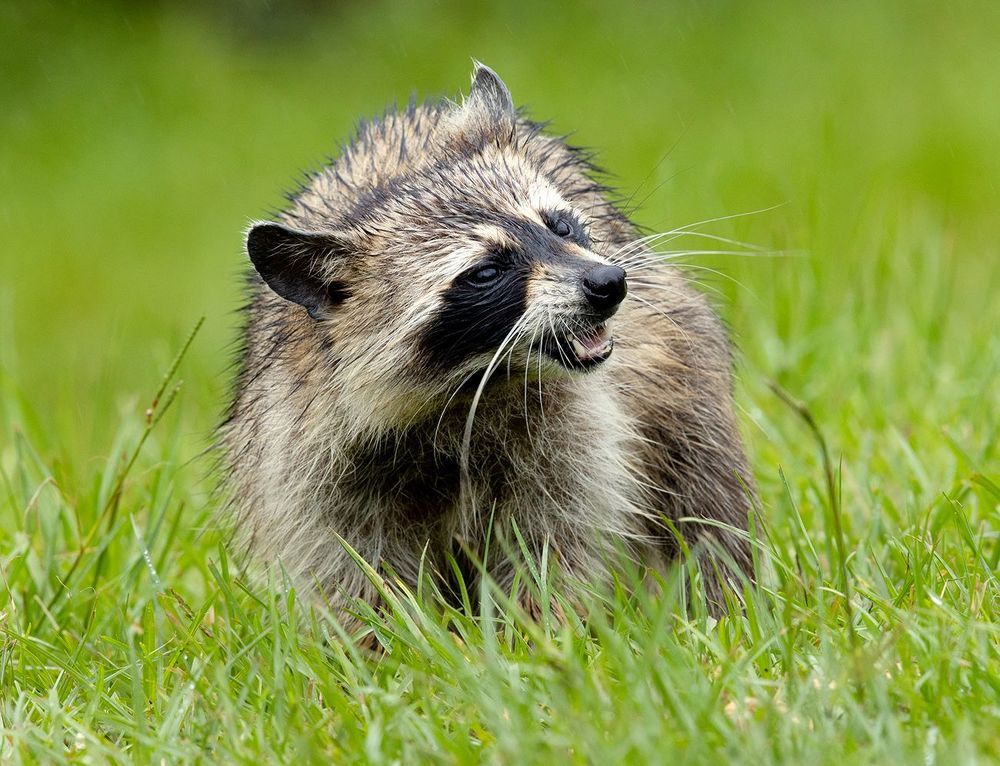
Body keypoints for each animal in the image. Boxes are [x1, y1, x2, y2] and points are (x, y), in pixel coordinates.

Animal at [222, 64, 756, 620]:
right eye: (485, 272)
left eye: (559, 225)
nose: (609, 282)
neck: (465, 385)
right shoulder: (306, 451)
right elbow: (355, 568)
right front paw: (383, 635)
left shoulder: (568, 425)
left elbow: (550, 537)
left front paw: (535, 625)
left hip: (676, 357)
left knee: (703, 489)